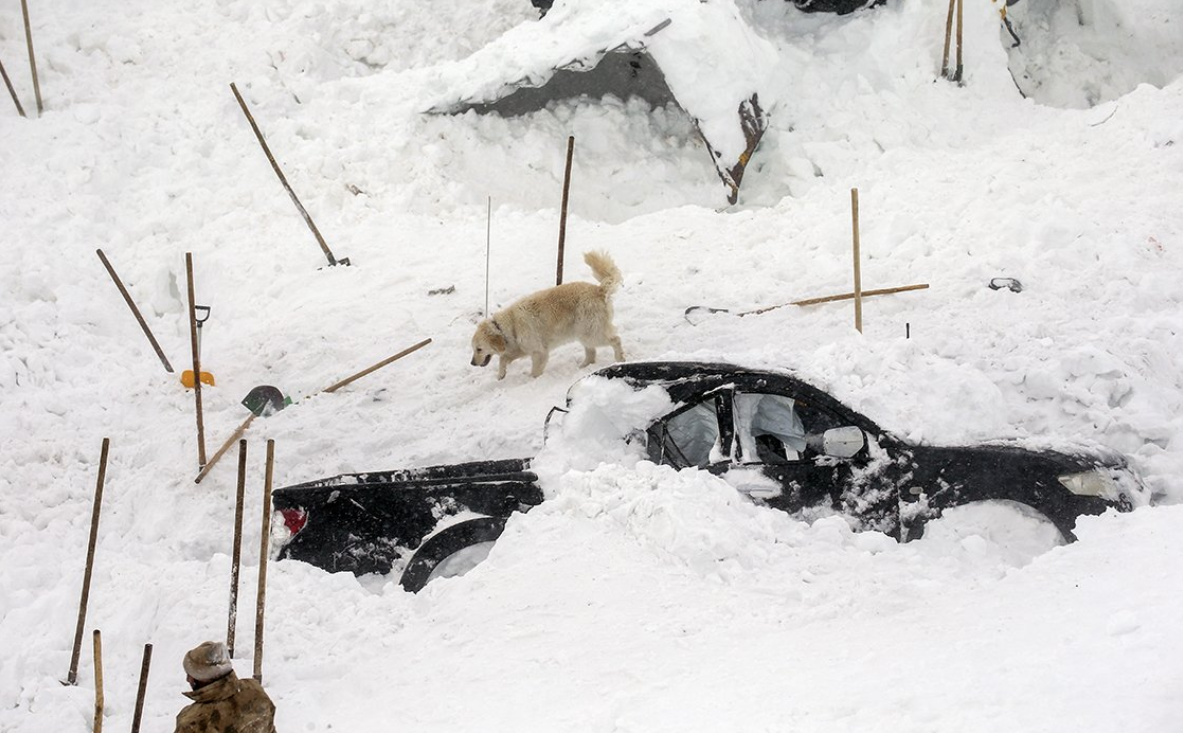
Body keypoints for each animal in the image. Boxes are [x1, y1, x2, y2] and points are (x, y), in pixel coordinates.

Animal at [473, 250, 629, 380]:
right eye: (474, 349)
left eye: (479, 349)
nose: (472, 363)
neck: (510, 326)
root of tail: (599, 290)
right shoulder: (521, 349)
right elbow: (503, 358)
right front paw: (501, 374)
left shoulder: (539, 352)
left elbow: (534, 372)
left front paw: (532, 381)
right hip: (584, 333)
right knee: (591, 354)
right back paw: (582, 367)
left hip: (591, 332)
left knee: (616, 340)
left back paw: (620, 359)